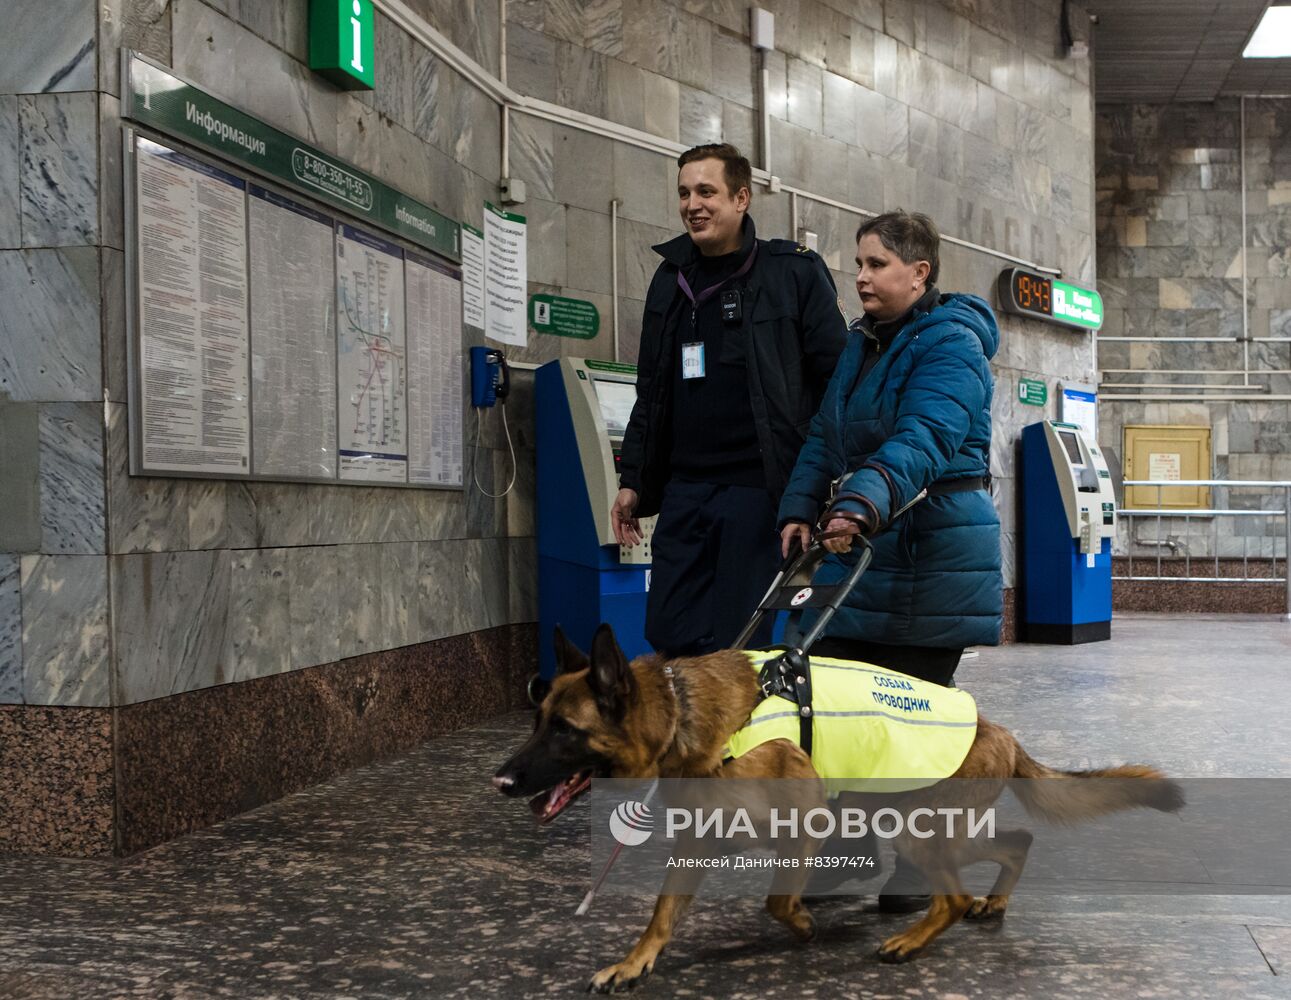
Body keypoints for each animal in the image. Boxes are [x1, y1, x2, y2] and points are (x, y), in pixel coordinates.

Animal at [490, 624, 1182, 990]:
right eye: (536, 720)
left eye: (564, 732)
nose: (500, 780)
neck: (682, 717)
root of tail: (1002, 734)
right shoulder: (698, 843)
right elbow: (662, 914)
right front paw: (634, 963)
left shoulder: (808, 823)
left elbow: (776, 899)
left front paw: (800, 924)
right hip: (931, 826)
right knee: (1015, 842)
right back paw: (994, 902)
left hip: (914, 828)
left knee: (954, 894)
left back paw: (912, 940)